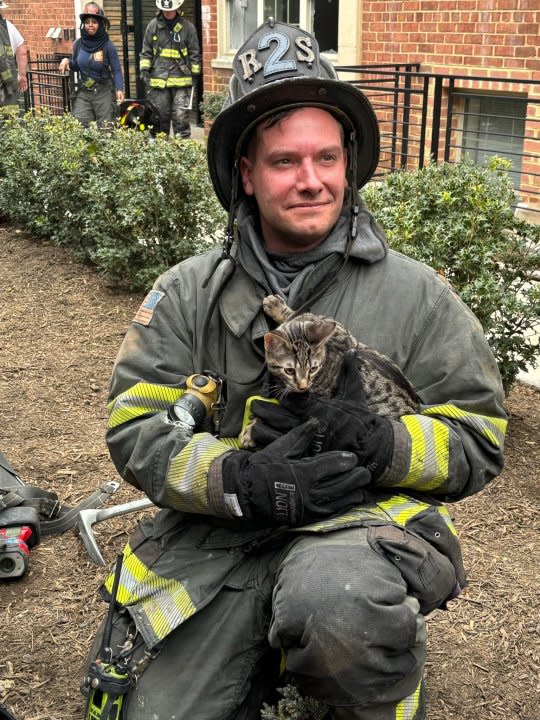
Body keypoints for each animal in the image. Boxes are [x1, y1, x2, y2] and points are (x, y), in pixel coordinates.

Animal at [242, 296, 422, 448]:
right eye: (289, 370)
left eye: (313, 368)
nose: (303, 386)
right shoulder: (337, 330)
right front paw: (277, 307)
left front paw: (251, 430)